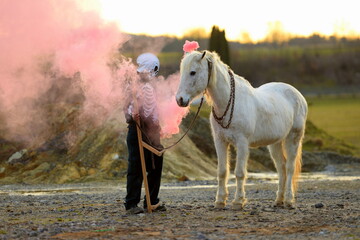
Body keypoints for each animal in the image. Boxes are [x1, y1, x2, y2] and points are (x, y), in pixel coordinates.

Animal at [176, 51, 308, 209]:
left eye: (193, 72)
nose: (180, 99)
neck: (229, 102)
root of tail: (298, 95)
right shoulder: (220, 141)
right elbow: (222, 172)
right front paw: (220, 201)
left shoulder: (242, 143)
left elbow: (239, 172)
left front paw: (238, 201)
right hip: (275, 143)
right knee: (281, 168)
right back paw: (279, 200)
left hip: (293, 138)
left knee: (289, 168)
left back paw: (288, 200)